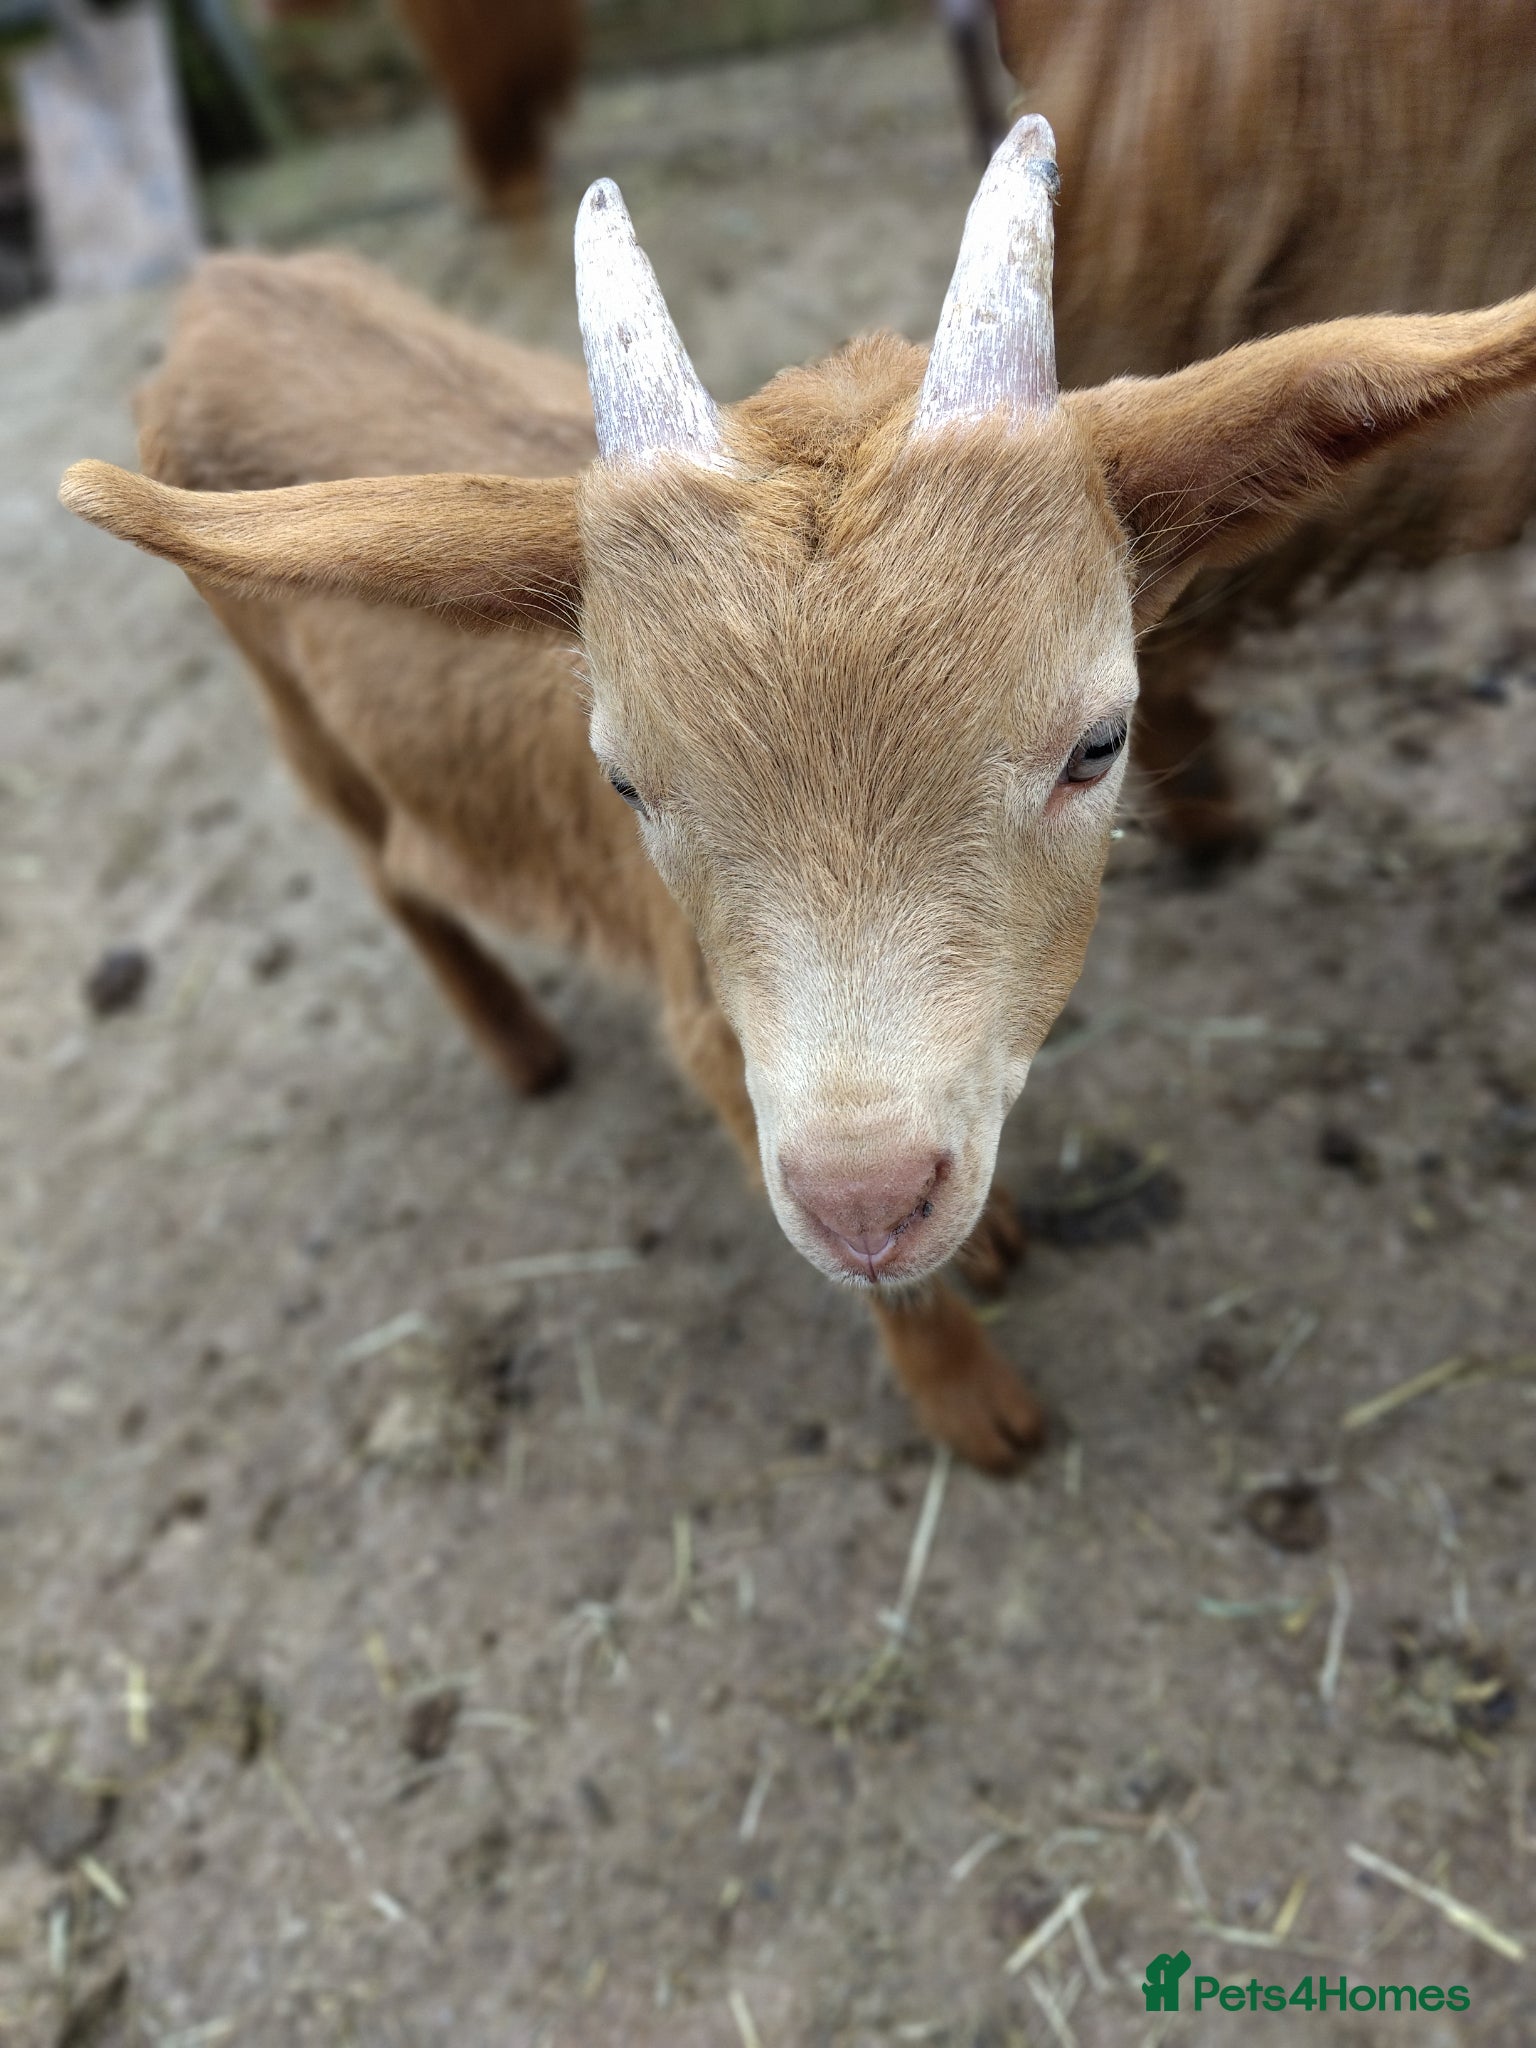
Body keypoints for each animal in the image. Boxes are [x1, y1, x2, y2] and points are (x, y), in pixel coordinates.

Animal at [60, 118, 1536, 1471]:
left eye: (1099, 743)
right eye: (625, 781)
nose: (865, 1203)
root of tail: (222, 286)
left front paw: (984, 1240)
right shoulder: (711, 1025)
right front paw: (975, 1406)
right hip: (280, 689)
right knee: (387, 866)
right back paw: (520, 1046)